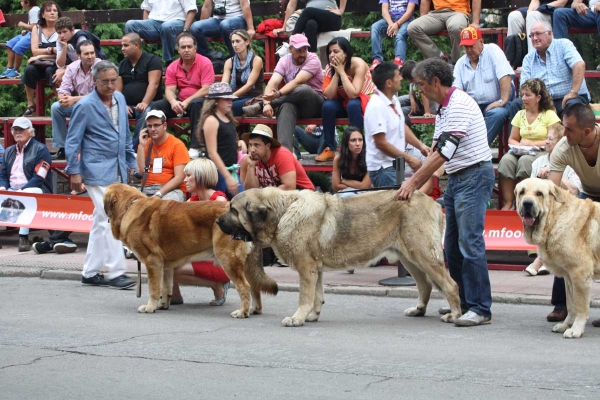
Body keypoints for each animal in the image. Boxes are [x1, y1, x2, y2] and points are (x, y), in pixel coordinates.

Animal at [214, 186, 460, 326]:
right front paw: (312, 316)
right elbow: (316, 296)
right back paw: (418, 310)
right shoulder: (316, 269)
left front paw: (297, 318)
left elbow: (304, 296)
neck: (283, 212)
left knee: (450, 285)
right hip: (409, 258)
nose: (216, 221)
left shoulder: (306, 269)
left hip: (423, 255)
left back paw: (455, 315)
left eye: (233, 210)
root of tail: (432, 202)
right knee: (425, 285)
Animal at [516, 178, 600, 338]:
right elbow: (571, 304)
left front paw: (576, 329)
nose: (527, 203)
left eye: (539, 193)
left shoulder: (579, 273)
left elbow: (580, 305)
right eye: (522, 192)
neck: (555, 218)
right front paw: (565, 325)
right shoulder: (569, 276)